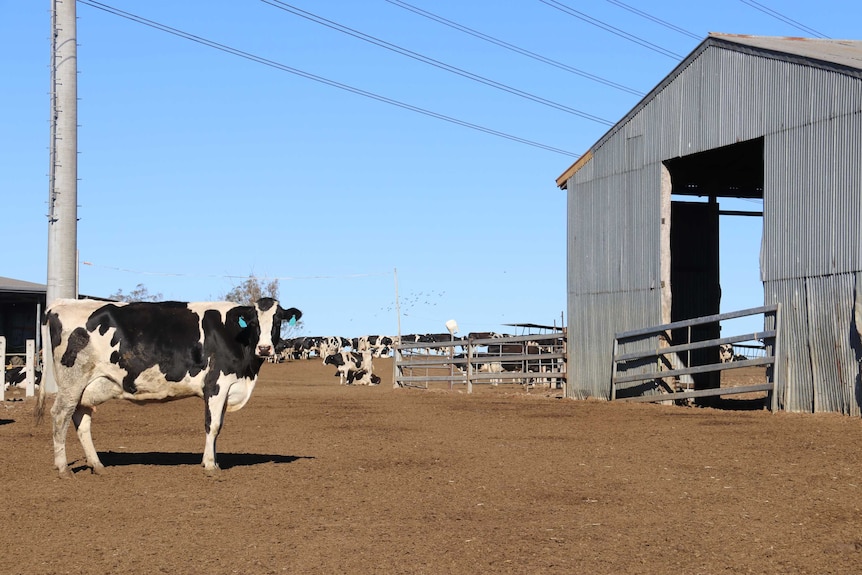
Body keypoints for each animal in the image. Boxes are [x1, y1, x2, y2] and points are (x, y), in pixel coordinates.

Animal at [35, 296, 302, 476]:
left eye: (277, 321)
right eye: (253, 322)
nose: (265, 348)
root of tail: (61, 303)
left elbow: (218, 427)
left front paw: (213, 460)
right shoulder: (216, 384)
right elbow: (212, 425)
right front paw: (210, 465)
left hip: (89, 385)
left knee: (81, 418)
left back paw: (97, 465)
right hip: (72, 381)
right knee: (60, 415)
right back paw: (63, 468)